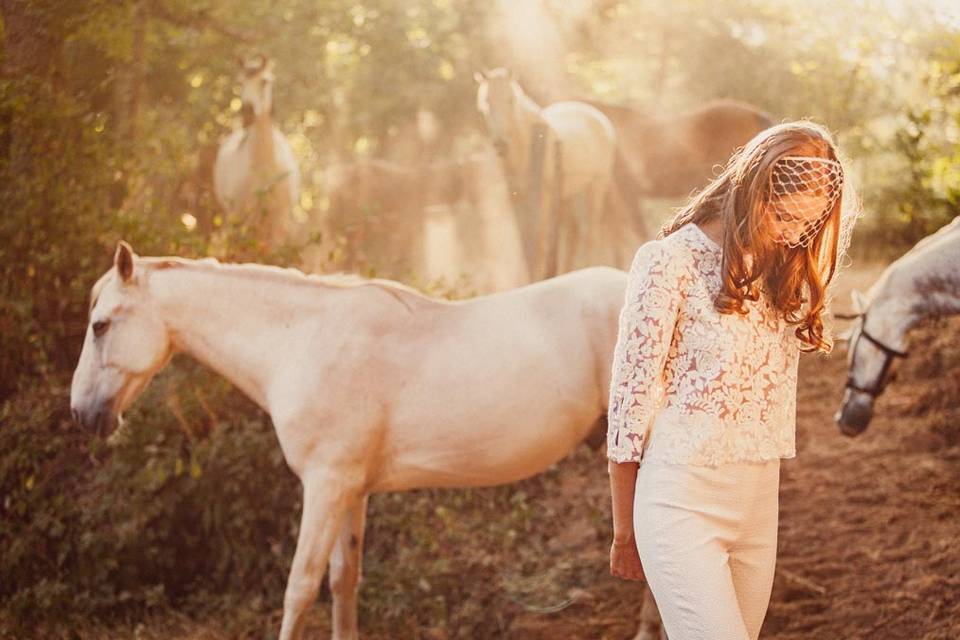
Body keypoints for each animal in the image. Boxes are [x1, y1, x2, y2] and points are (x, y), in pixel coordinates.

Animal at [73, 241, 644, 640]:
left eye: (100, 325)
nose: (83, 414)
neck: (301, 342)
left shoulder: (325, 486)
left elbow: (300, 588)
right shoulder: (351, 491)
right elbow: (342, 582)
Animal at [476, 67, 628, 280]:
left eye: (511, 100)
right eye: (486, 101)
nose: (500, 144)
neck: (527, 147)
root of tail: (599, 117)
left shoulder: (543, 199)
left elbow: (539, 242)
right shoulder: (517, 199)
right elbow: (524, 243)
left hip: (596, 186)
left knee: (591, 233)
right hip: (566, 194)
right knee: (573, 233)